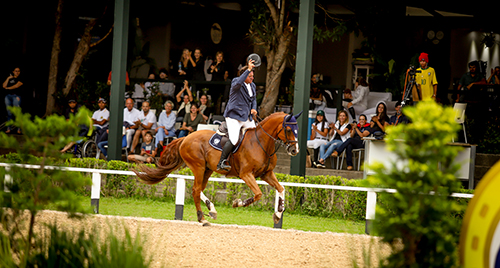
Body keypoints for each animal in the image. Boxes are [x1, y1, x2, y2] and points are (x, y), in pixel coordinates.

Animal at [133, 111, 300, 226]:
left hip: (207, 170)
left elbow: (281, 189)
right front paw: (237, 203)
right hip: (199, 167)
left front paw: (278, 215)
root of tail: (186, 138)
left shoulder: (267, 174)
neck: (261, 143)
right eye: (289, 129)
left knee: (198, 189)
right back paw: (202, 218)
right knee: (195, 190)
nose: (295, 150)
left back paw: (211, 210)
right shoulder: (246, 174)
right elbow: (258, 194)